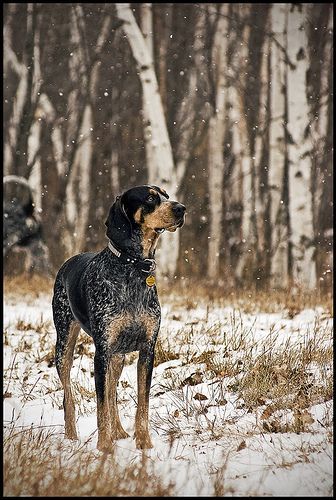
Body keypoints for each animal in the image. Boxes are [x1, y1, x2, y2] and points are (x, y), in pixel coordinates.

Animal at [51, 186, 186, 452]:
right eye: (150, 197)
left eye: (166, 195)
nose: (181, 208)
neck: (133, 268)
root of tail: (69, 261)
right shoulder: (101, 353)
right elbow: (101, 404)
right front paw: (104, 446)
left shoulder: (147, 350)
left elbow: (141, 403)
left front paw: (143, 441)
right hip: (64, 347)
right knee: (68, 393)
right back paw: (71, 435)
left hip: (118, 358)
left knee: (112, 391)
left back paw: (120, 430)